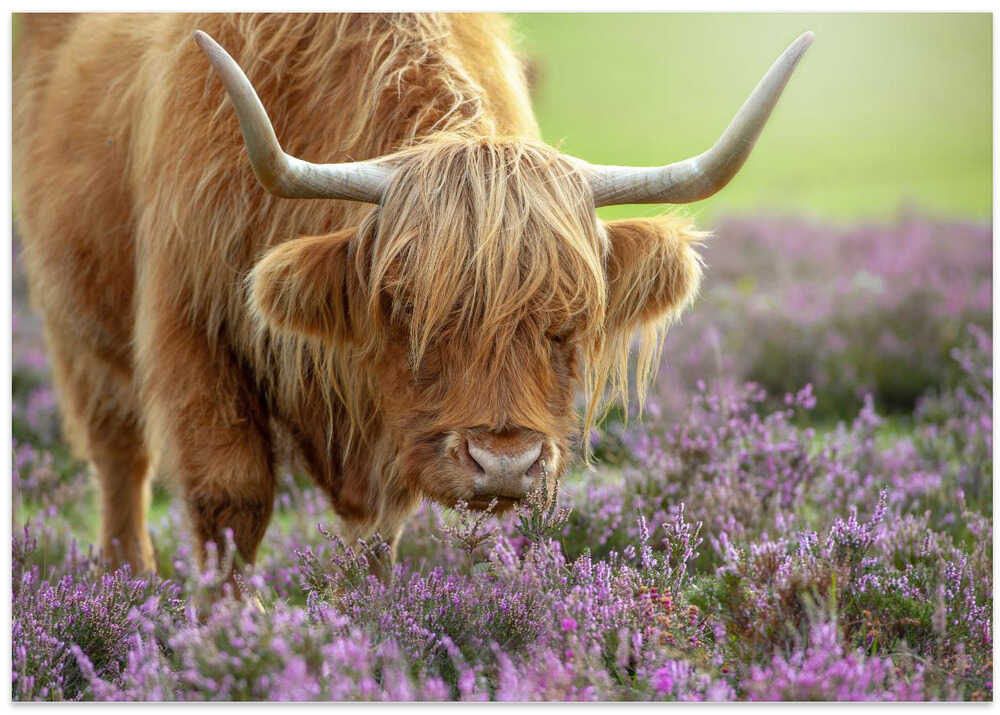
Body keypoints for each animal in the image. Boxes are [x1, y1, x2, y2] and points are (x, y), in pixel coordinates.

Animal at [13, 14, 812, 577]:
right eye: (404, 308)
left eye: (569, 321)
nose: (504, 464)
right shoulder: (192, 330)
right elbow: (230, 503)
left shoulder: (385, 428)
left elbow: (377, 533)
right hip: (74, 325)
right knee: (119, 461)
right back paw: (128, 581)